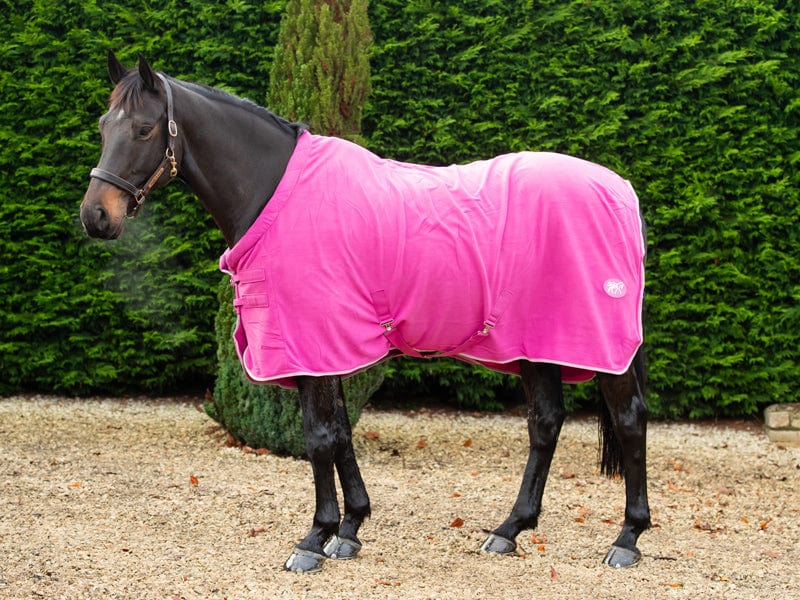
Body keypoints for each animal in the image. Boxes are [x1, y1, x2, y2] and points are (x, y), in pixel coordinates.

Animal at [80, 52, 650, 573]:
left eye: (144, 128)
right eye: (104, 125)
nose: (95, 216)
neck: (278, 194)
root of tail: (620, 189)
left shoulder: (310, 341)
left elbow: (320, 437)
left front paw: (314, 539)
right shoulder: (324, 347)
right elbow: (341, 433)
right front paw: (350, 529)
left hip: (601, 346)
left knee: (629, 420)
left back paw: (627, 538)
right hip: (534, 346)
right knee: (545, 423)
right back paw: (510, 529)